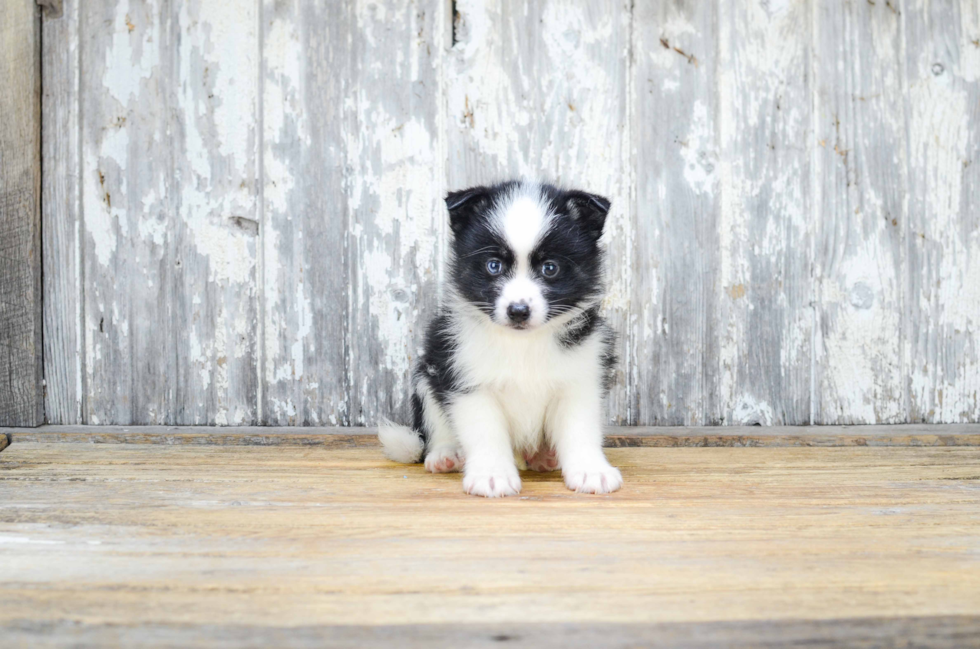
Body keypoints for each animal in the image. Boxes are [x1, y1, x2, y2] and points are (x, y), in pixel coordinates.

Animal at [376, 182, 620, 496]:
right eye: (494, 266)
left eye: (550, 268)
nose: (518, 311)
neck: (522, 343)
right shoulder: (465, 379)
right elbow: (485, 432)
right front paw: (491, 475)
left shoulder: (580, 376)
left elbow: (580, 429)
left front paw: (591, 470)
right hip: (426, 375)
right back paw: (445, 454)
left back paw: (542, 456)